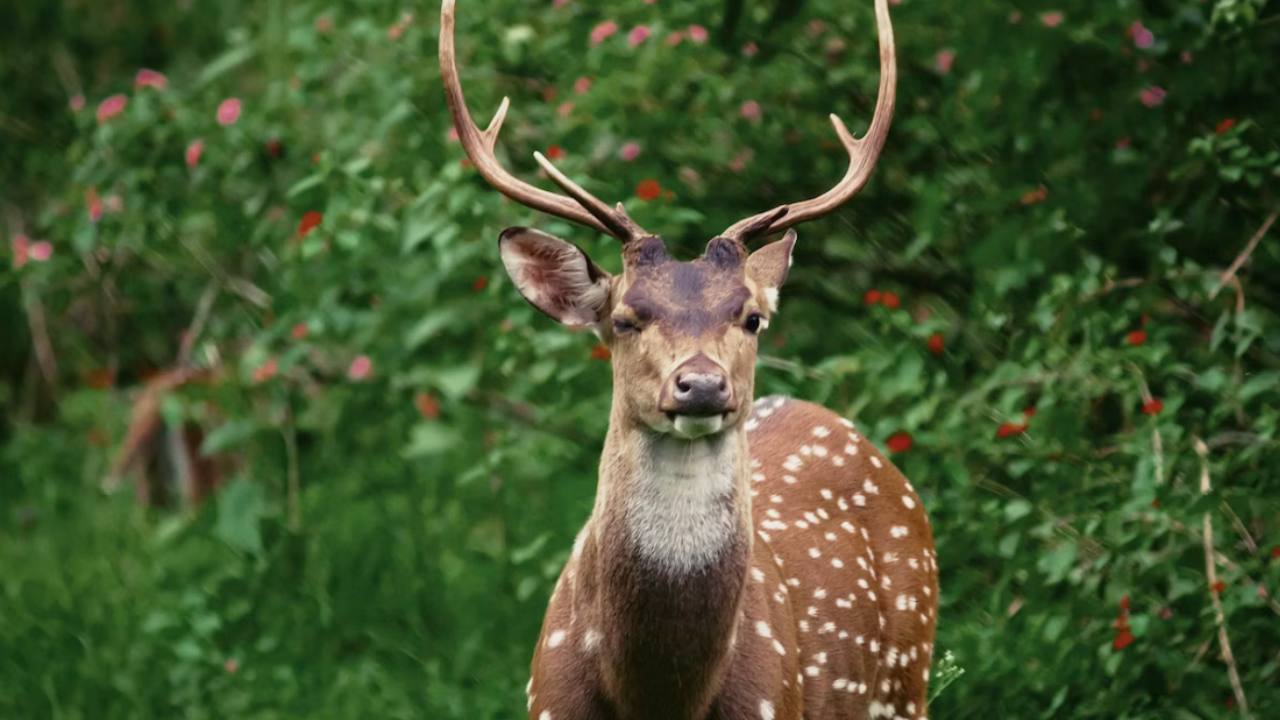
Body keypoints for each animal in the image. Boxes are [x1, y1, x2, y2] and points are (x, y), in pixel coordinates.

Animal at [445, 1, 936, 717]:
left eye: (751, 316)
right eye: (624, 318)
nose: (701, 386)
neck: (658, 693)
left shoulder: (772, 701)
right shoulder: (545, 700)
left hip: (906, 678)